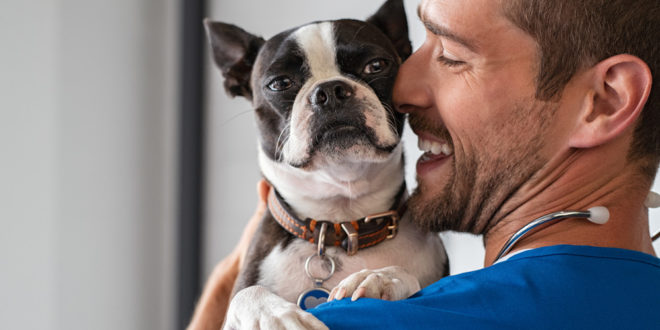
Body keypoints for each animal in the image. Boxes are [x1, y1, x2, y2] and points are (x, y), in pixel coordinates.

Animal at [205, 0, 448, 326]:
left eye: (376, 66)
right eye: (280, 83)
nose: (331, 90)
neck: (338, 221)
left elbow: (408, 277)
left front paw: (379, 278)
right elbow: (247, 293)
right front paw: (277, 317)